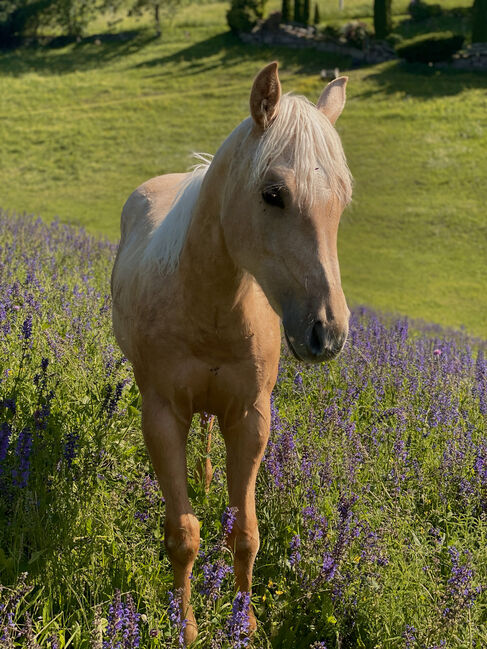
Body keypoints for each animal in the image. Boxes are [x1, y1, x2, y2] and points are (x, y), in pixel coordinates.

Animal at [112, 62, 352, 644]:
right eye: (273, 193)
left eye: (341, 199)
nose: (327, 332)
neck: (210, 303)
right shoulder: (161, 414)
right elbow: (182, 534)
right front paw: (186, 626)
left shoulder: (250, 416)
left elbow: (246, 531)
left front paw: (243, 621)